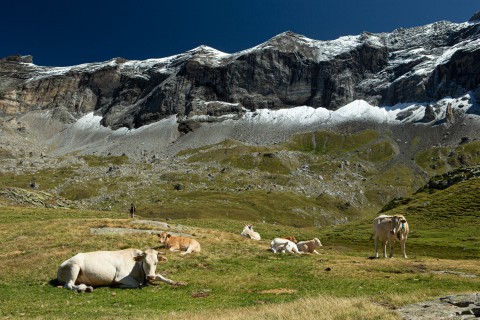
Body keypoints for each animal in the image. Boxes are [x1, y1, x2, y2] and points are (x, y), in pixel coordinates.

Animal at [56, 248, 184, 292]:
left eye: (156, 262)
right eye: (145, 262)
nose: (150, 277)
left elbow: (160, 276)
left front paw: (177, 282)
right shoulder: (120, 276)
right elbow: (136, 284)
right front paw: (118, 285)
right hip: (74, 266)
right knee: (69, 285)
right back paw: (86, 288)